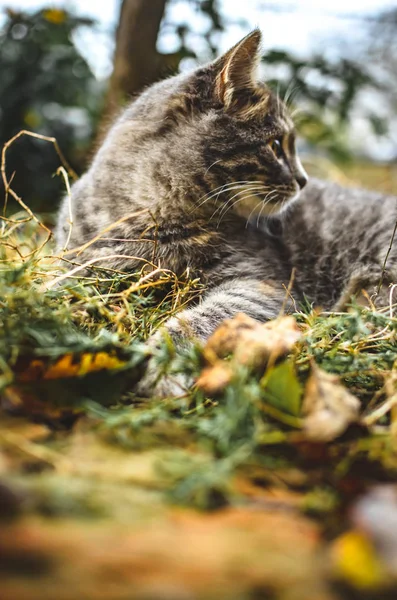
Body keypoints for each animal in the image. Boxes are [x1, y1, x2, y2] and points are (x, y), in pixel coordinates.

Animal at [56, 29, 396, 394]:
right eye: (276, 145)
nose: (304, 180)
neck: (149, 217)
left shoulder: (261, 286)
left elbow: (199, 319)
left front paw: (162, 362)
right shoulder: (82, 263)